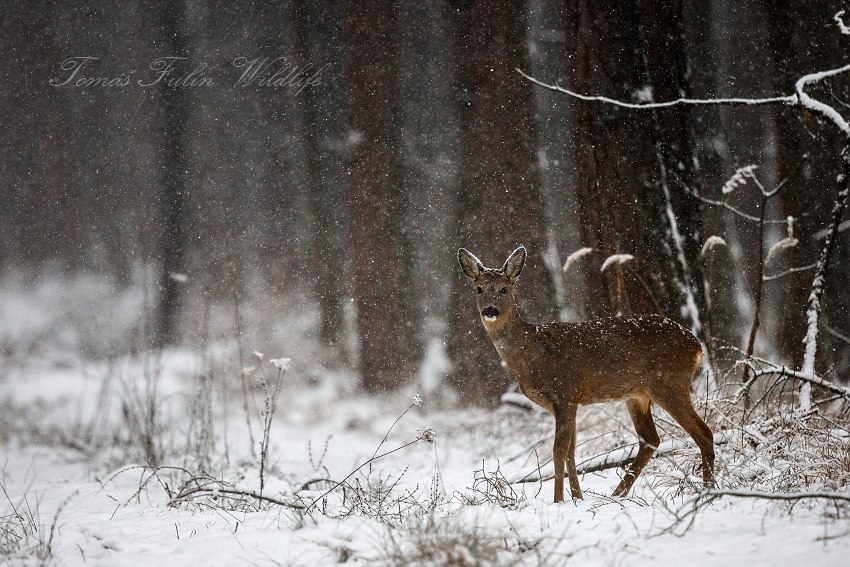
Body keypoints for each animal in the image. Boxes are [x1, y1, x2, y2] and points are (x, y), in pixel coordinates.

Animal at [457, 245, 715, 503]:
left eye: (504, 288)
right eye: (479, 289)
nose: (490, 310)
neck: (534, 353)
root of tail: (696, 345)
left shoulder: (565, 393)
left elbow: (558, 451)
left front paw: (559, 500)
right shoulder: (567, 403)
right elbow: (571, 451)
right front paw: (577, 498)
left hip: (670, 383)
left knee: (703, 432)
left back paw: (708, 489)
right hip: (637, 395)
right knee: (651, 439)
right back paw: (617, 494)